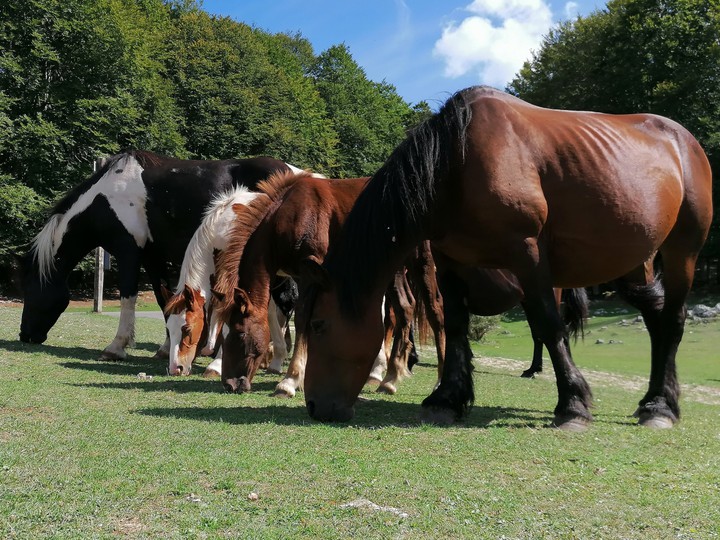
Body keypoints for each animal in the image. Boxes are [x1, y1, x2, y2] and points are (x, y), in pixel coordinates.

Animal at [301, 86, 713, 429]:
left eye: (318, 325)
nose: (313, 406)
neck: (457, 161)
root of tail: (685, 140)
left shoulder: (527, 253)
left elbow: (549, 325)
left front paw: (572, 405)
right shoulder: (450, 261)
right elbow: (454, 326)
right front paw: (447, 399)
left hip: (682, 251)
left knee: (673, 319)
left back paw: (661, 407)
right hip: (634, 265)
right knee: (656, 319)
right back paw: (652, 400)